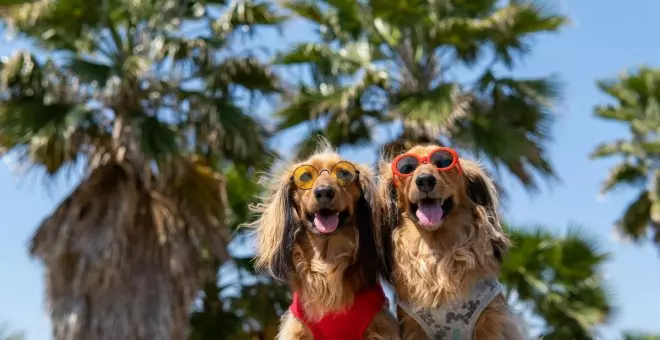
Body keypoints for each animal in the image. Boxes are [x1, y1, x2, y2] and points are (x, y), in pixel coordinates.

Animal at [378, 145, 524, 340]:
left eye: (443, 162)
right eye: (407, 168)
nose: (425, 180)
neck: (439, 249)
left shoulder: (490, 321)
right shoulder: (413, 326)